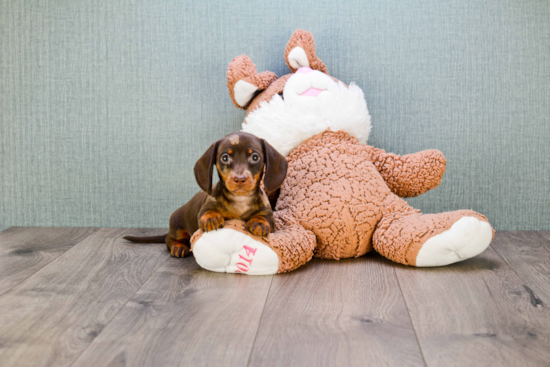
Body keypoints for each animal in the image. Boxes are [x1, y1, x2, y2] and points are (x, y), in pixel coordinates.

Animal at [123, 132, 288, 258]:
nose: (240, 179)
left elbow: (264, 217)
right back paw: (178, 247)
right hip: (177, 227)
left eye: (255, 157)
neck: (240, 199)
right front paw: (211, 218)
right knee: (169, 240)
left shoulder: (269, 214)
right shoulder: (206, 206)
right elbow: (207, 211)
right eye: (225, 158)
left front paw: (258, 222)